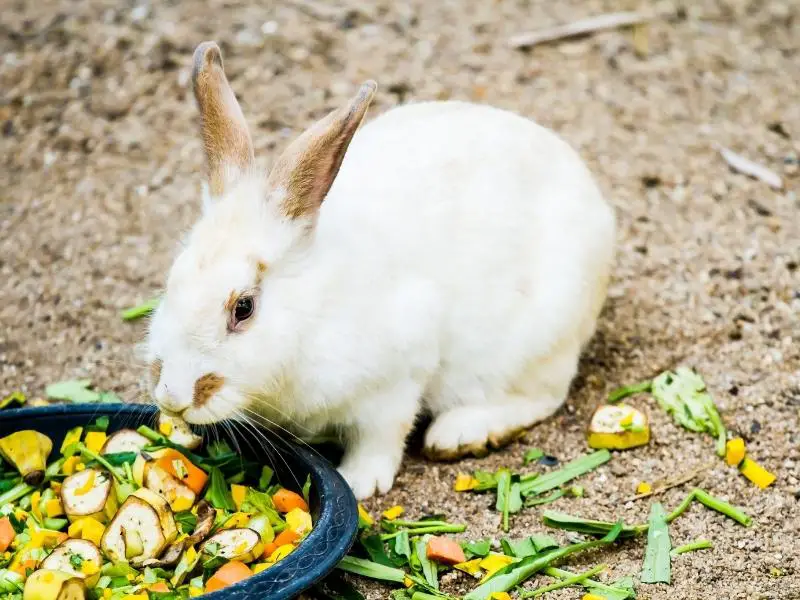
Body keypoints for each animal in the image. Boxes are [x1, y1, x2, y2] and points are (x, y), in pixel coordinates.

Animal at [144, 42, 616, 500]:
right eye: (171, 282)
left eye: (243, 308)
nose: (172, 397)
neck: (313, 309)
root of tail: (597, 208)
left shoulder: (395, 379)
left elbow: (382, 437)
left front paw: (359, 482)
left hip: (534, 344)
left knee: (543, 397)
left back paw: (460, 433)